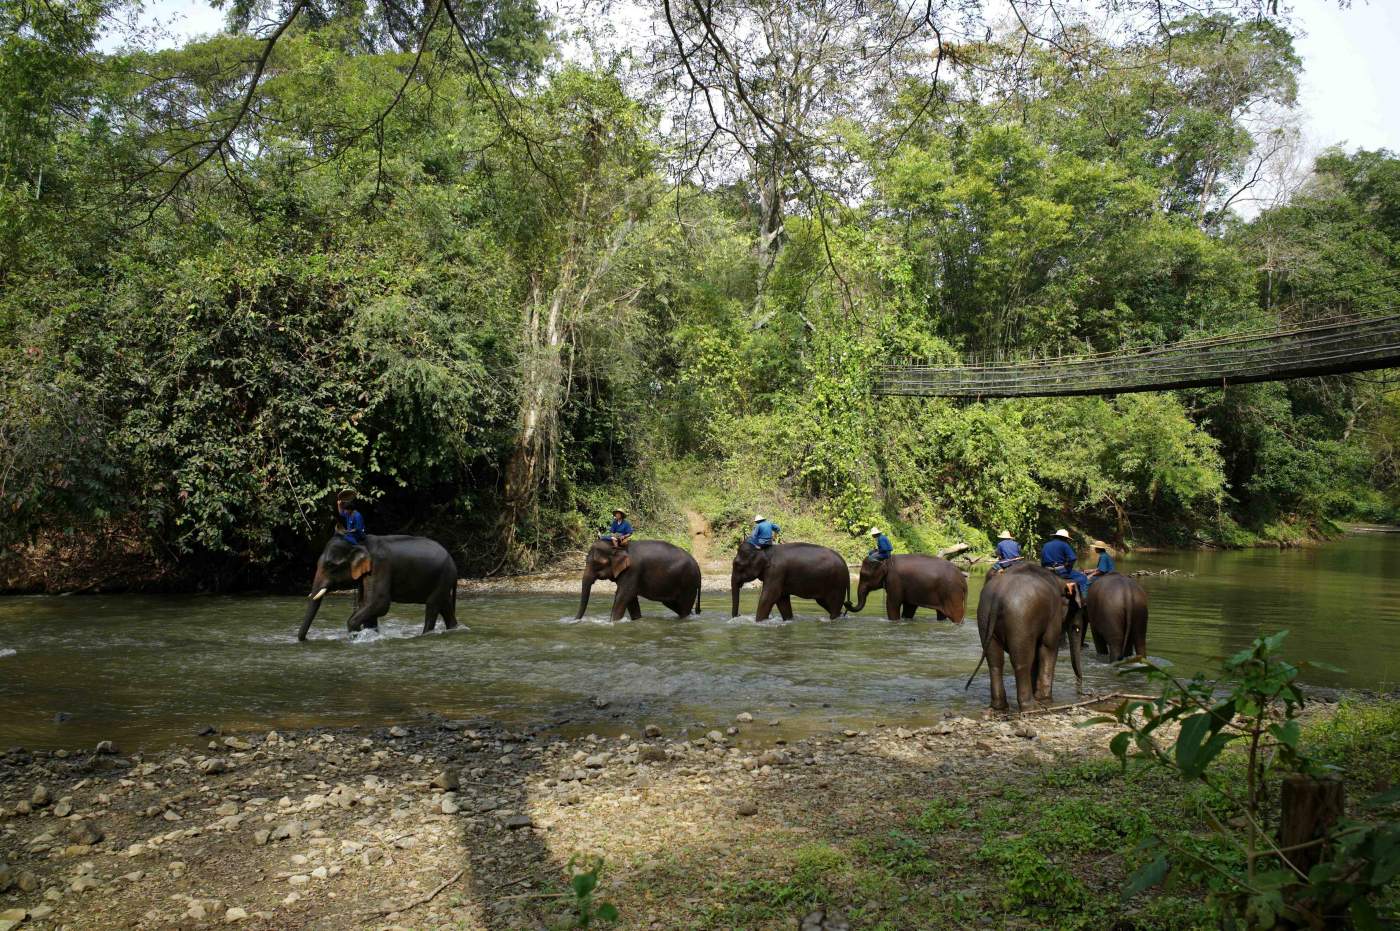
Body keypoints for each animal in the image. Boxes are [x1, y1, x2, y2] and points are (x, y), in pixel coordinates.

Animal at [298, 529, 456, 638]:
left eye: (331, 565)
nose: (304, 639)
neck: (360, 542)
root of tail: (452, 561)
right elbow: (366, 604)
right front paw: (371, 634)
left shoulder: (380, 565)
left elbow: (379, 602)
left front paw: (356, 635)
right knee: (445, 606)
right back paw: (453, 629)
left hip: (443, 577)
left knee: (432, 606)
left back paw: (424, 635)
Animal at [834, 554, 968, 621]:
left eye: (863, 575)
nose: (848, 602)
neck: (886, 560)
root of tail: (963, 579)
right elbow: (909, 608)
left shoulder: (895, 580)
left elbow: (892, 604)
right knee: (941, 614)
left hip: (952, 593)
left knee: (955, 614)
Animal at [974, 560, 1080, 711]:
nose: (1080, 690)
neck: (1060, 580)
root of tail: (998, 596)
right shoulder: (1053, 616)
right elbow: (1048, 646)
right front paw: (1045, 699)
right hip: (1020, 619)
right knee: (1022, 662)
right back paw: (1031, 706)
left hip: (984, 617)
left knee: (995, 661)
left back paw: (999, 706)